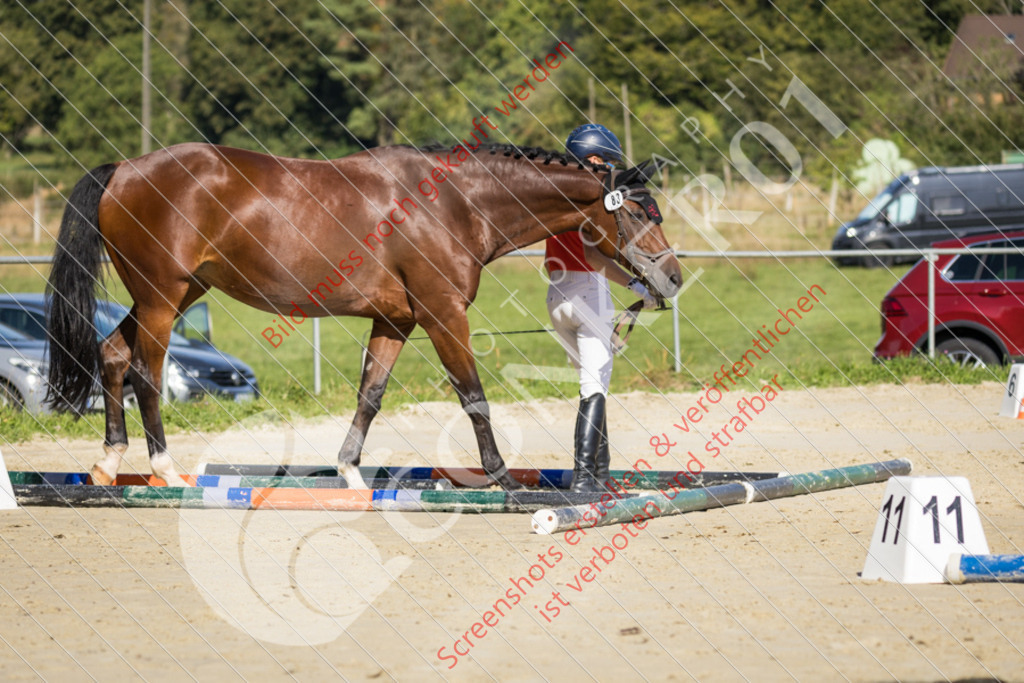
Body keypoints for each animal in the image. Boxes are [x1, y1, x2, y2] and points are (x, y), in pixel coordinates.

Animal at [48, 143, 684, 485]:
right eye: (638, 214)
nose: (673, 277)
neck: (456, 203)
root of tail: (125, 168)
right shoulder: (442, 314)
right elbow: (473, 396)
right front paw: (501, 474)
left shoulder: (395, 321)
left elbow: (370, 395)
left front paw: (351, 471)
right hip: (163, 298)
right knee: (145, 373)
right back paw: (164, 467)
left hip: (174, 295)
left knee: (112, 354)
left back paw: (108, 463)